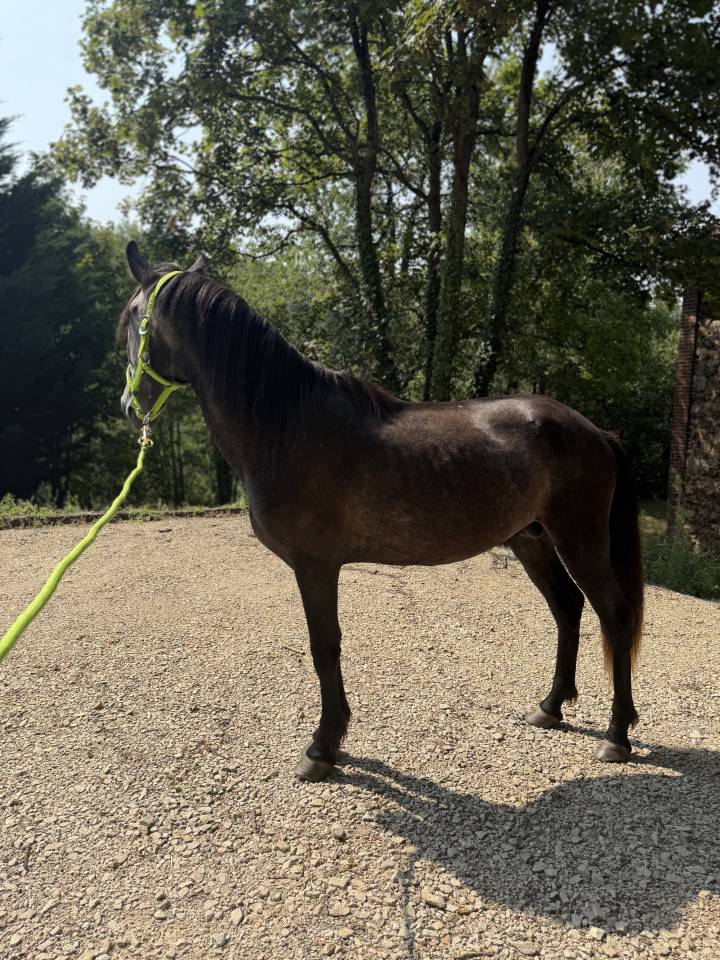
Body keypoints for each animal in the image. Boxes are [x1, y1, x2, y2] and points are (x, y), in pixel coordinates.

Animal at [119, 241, 643, 782]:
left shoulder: (315, 565)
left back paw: (617, 735)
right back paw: (550, 706)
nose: (128, 405)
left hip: (580, 540)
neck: (288, 426)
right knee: (567, 608)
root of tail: (593, 431)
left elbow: (324, 646)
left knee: (615, 614)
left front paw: (323, 747)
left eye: (132, 317)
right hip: (531, 539)